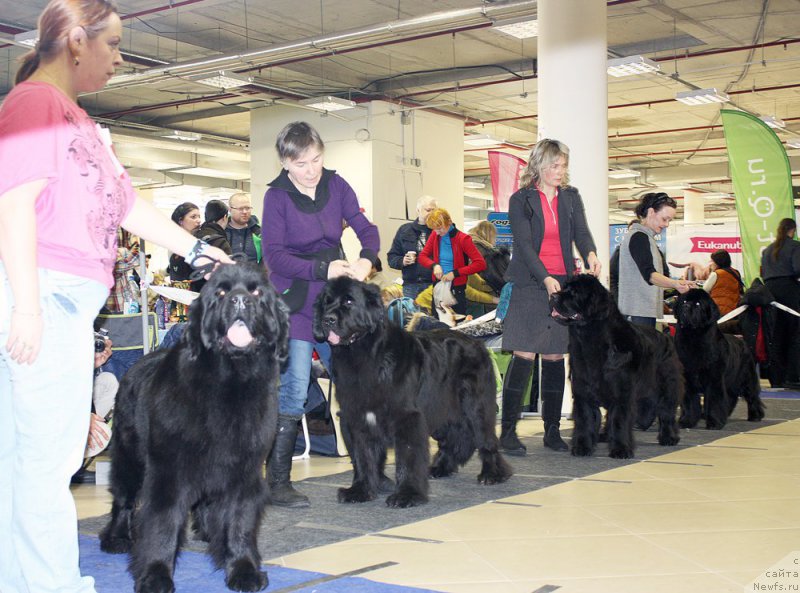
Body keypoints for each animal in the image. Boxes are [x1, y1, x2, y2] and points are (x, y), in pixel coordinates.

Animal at [310, 276, 510, 504]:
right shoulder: (358, 416)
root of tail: (477, 343)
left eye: (349, 301)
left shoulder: (407, 417)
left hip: (474, 405)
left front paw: (407, 494)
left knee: (485, 438)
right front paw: (360, 490)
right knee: (453, 437)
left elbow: (408, 456)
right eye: (327, 302)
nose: (328, 320)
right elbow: (363, 456)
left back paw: (492, 474)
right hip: (442, 410)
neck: (366, 353)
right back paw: (440, 468)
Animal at [552, 274, 684, 458]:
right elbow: (585, 419)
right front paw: (582, 447)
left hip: (668, 385)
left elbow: (619, 420)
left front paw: (621, 449)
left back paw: (669, 437)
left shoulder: (622, 393)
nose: (553, 296)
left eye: (575, 293)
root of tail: (665, 336)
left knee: (666, 411)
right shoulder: (583, 391)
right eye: (564, 288)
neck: (592, 340)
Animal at [676, 290, 768, 428]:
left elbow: (714, 400)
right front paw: (687, 421)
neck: (694, 337)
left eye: (698, 304)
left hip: (746, 378)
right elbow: (690, 402)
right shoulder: (688, 379)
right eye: (684, 301)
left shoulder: (714, 379)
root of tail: (742, 341)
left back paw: (756, 416)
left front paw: (714, 423)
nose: (686, 307)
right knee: (731, 398)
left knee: (752, 396)